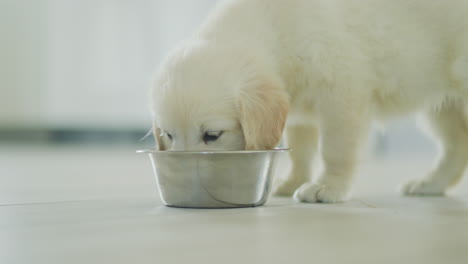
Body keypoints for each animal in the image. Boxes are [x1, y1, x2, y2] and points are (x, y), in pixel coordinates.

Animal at [151, 0, 468, 202]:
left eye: (212, 135)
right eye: (168, 135)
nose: (181, 178)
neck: (276, 27)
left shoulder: (342, 92)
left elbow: (335, 149)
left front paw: (328, 186)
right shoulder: (297, 108)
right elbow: (299, 150)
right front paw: (295, 180)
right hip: (444, 105)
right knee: (456, 147)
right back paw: (430, 183)